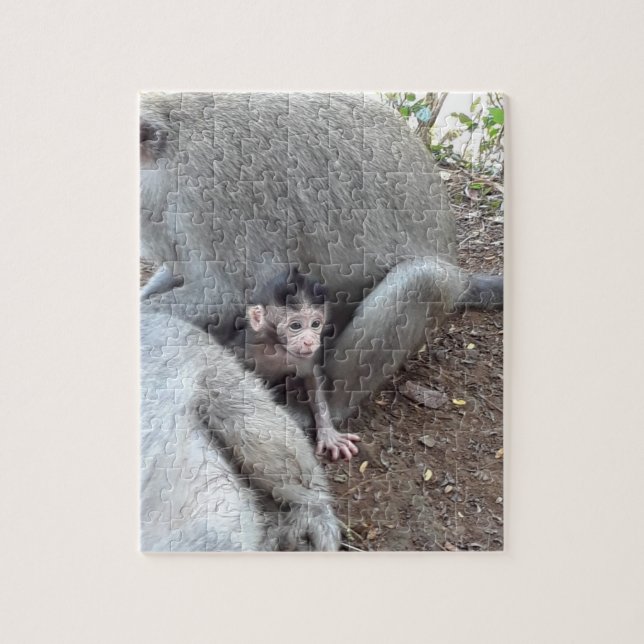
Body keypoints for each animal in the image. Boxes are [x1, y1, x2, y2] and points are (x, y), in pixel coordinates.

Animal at [244, 267, 360, 461]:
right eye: (296, 326)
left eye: (315, 324)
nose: (309, 341)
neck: (276, 346)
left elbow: (311, 376)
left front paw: (328, 433)